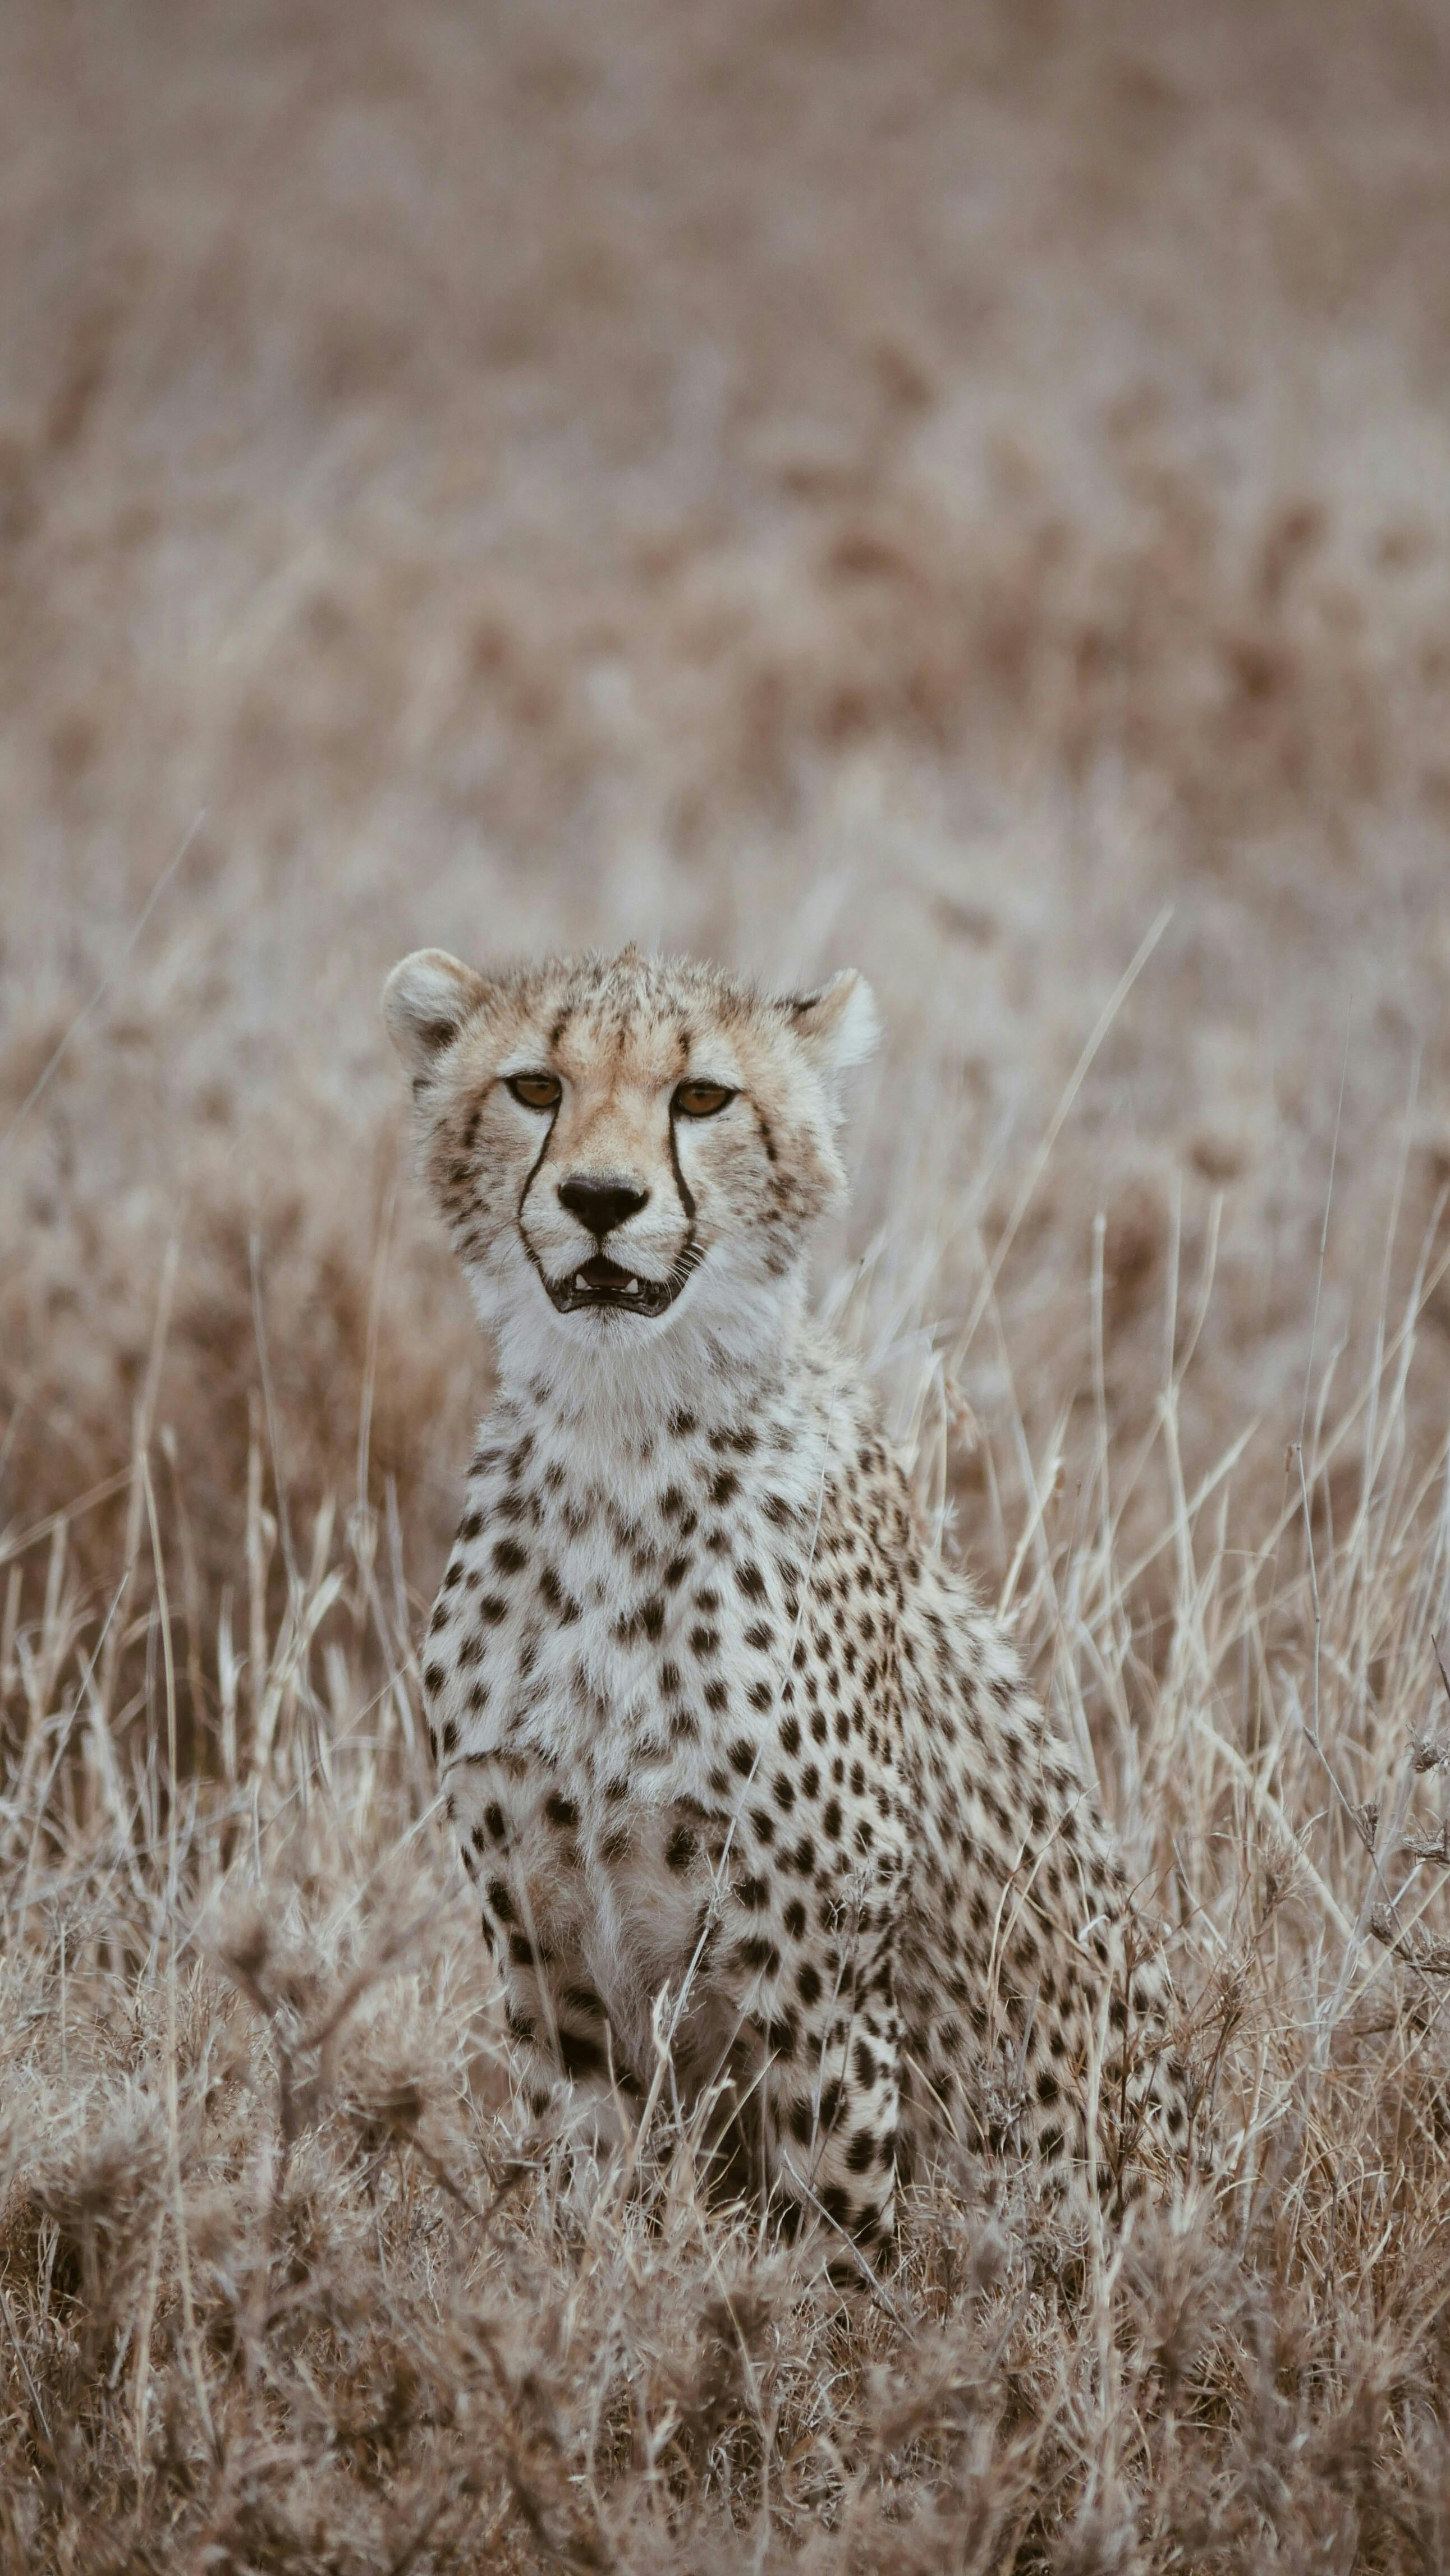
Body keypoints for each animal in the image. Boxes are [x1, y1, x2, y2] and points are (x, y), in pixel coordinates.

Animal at [382, 940, 1198, 2250]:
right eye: (534, 1087)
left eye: (701, 1097)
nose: (600, 1198)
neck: (618, 1437)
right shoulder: (547, 1964)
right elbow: (585, 2189)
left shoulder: (817, 1988)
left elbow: (837, 2236)